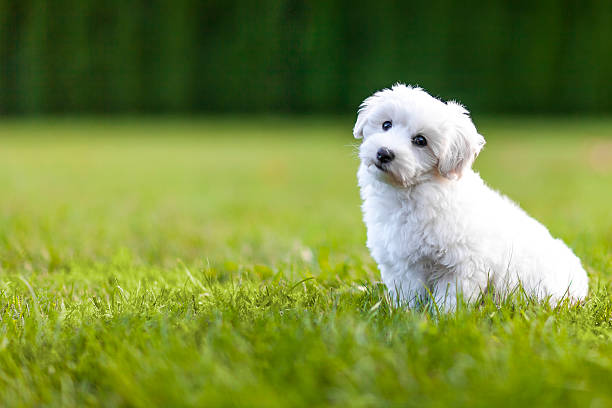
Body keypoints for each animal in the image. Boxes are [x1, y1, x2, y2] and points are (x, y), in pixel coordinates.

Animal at [354, 84, 588, 310]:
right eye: (386, 125)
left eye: (420, 141)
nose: (384, 153)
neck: (413, 191)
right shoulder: (399, 265)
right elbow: (407, 293)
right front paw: (406, 314)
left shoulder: (462, 264)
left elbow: (450, 299)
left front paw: (444, 318)